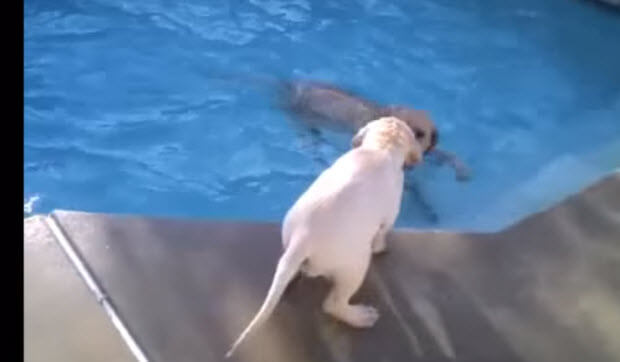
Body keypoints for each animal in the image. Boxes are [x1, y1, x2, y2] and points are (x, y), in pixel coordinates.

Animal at [225, 117, 424, 358]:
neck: (380, 147)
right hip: (355, 266)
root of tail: (302, 239)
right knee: (333, 304)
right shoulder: (389, 215)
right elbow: (382, 234)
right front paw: (381, 246)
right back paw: (359, 316)